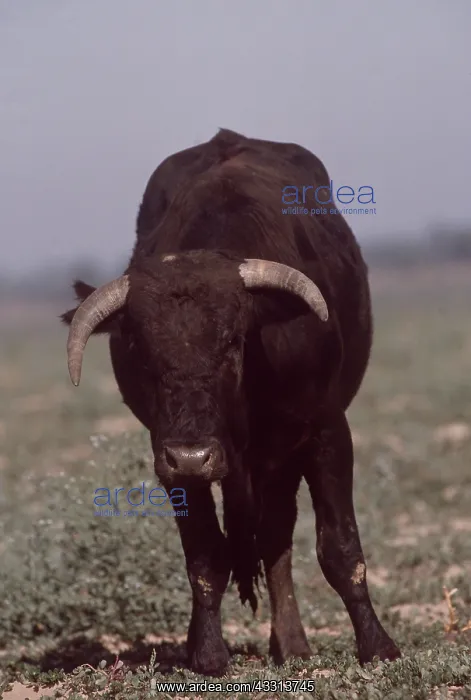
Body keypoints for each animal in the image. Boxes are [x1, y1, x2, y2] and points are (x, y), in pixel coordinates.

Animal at [61, 128, 400, 676]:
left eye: (232, 340)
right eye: (141, 348)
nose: (194, 455)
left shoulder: (327, 433)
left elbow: (339, 548)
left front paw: (377, 646)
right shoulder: (172, 463)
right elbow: (205, 556)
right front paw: (206, 652)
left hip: (281, 458)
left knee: (277, 537)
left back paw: (293, 644)